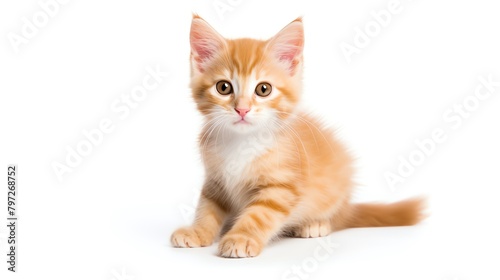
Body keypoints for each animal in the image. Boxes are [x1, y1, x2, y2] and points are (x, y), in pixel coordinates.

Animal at [170, 14, 424, 258]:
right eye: (223, 87)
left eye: (263, 89)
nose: (242, 109)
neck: (242, 142)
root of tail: (348, 208)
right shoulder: (215, 180)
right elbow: (207, 208)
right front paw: (197, 231)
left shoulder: (282, 186)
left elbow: (260, 214)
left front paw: (241, 238)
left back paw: (315, 224)